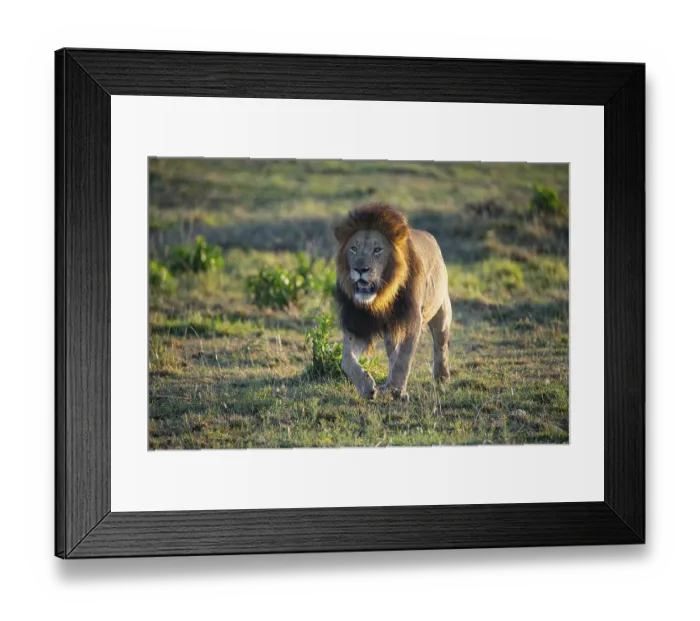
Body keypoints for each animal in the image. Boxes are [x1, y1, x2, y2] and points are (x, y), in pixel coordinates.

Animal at [334, 203, 452, 401]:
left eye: (377, 249)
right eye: (354, 248)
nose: (360, 269)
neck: (380, 298)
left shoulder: (412, 319)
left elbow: (404, 358)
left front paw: (397, 390)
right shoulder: (358, 323)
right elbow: (347, 359)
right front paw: (367, 386)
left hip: (441, 312)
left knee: (440, 343)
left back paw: (441, 376)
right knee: (392, 353)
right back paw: (387, 384)